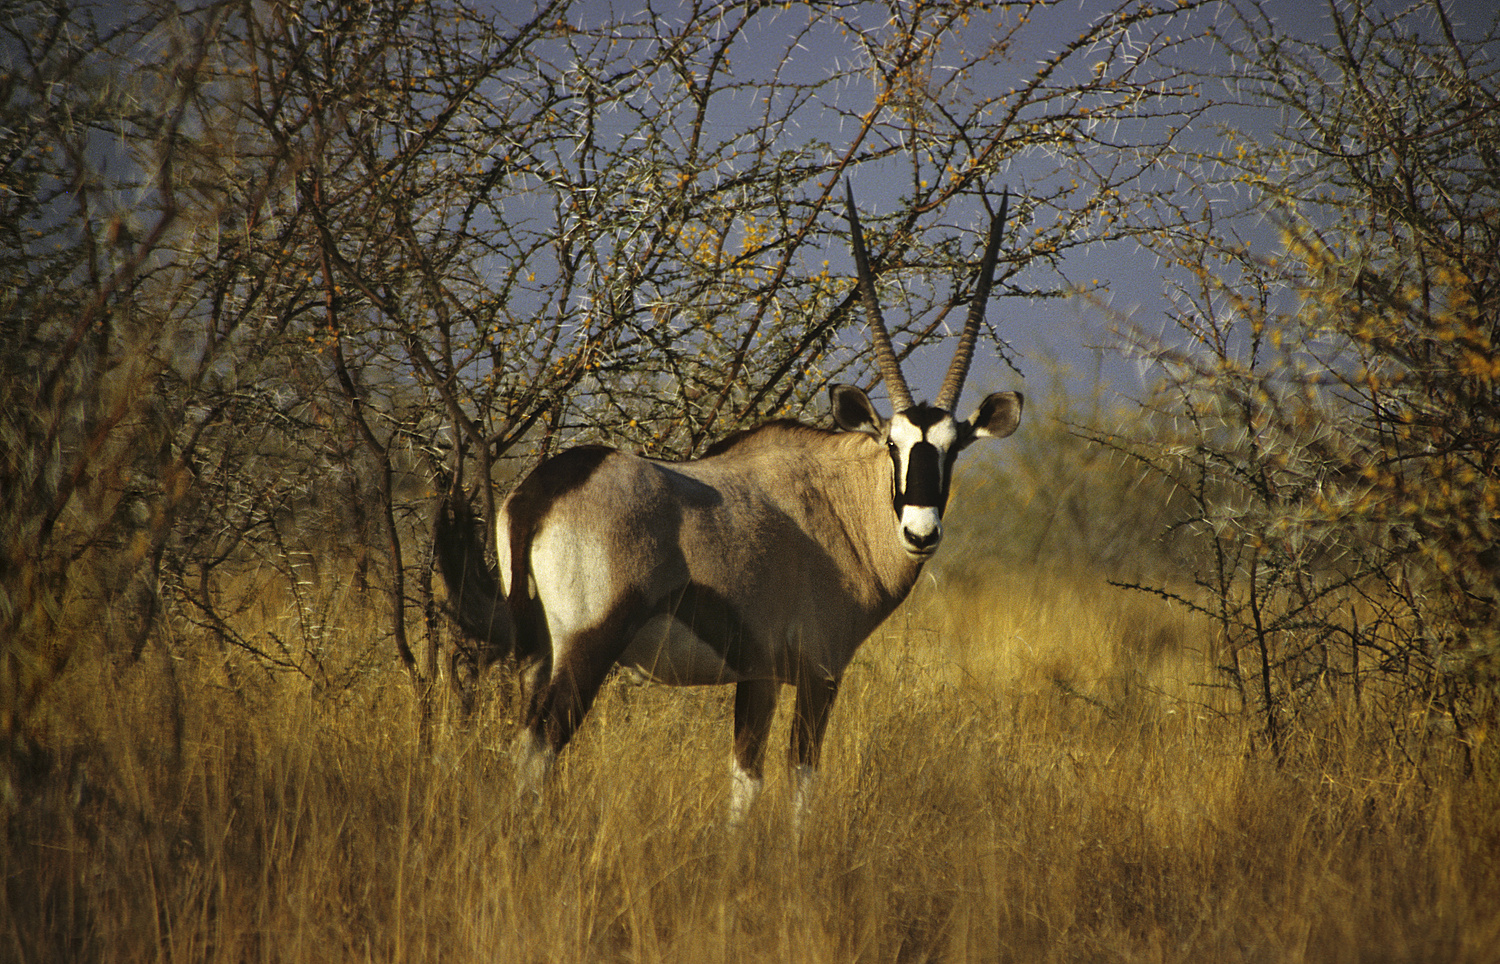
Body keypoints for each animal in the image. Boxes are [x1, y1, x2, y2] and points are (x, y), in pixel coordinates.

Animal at [435, 185, 1020, 827]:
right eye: (893, 444)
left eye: (954, 448)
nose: (920, 533)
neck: (838, 506)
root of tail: (544, 491)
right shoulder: (819, 673)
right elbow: (798, 781)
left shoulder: (759, 676)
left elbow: (745, 782)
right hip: (586, 648)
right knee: (539, 747)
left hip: (538, 652)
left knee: (523, 742)